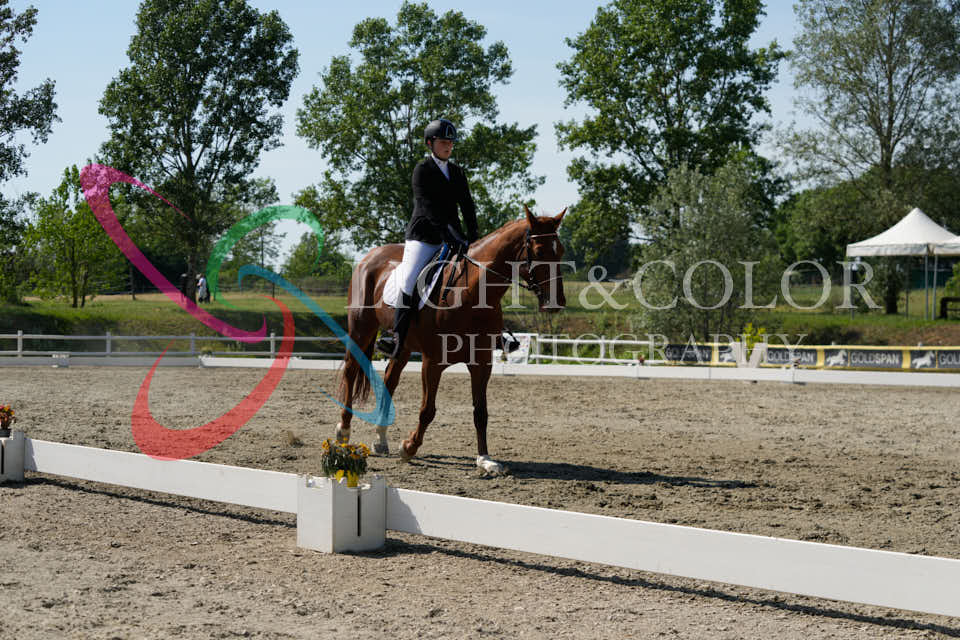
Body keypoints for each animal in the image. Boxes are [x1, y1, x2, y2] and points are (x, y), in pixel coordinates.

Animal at [335, 206, 567, 475]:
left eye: (560, 251)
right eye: (539, 252)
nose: (556, 302)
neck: (470, 293)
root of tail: (370, 256)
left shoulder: (482, 363)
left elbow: (481, 412)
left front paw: (485, 459)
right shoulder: (432, 362)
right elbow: (427, 410)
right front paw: (409, 447)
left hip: (403, 345)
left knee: (390, 379)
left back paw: (381, 438)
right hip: (361, 329)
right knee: (351, 371)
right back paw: (343, 431)